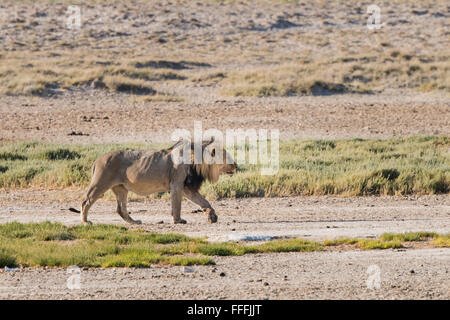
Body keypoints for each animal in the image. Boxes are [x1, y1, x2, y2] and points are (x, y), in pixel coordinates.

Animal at [69, 139, 237, 226]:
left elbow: (203, 201)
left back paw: (134, 222)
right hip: (100, 184)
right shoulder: (177, 184)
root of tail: (97, 160)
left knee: (121, 209)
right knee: (86, 201)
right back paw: (85, 221)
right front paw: (178, 220)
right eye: (226, 156)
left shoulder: (186, 186)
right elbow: (177, 204)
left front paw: (212, 216)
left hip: (121, 188)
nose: (236, 165)